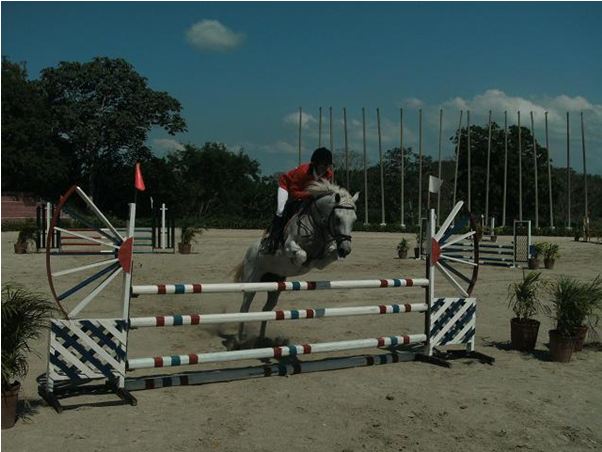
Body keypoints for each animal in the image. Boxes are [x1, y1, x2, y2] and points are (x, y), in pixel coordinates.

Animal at [225, 180, 356, 350]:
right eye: (338, 219)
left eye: (354, 220)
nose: (345, 250)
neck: (317, 224)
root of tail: (249, 251)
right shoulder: (289, 245)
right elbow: (301, 254)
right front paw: (299, 261)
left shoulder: (325, 258)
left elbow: (327, 256)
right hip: (252, 280)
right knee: (245, 307)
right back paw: (240, 340)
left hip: (275, 285)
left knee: (267, 310)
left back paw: (261, 340)